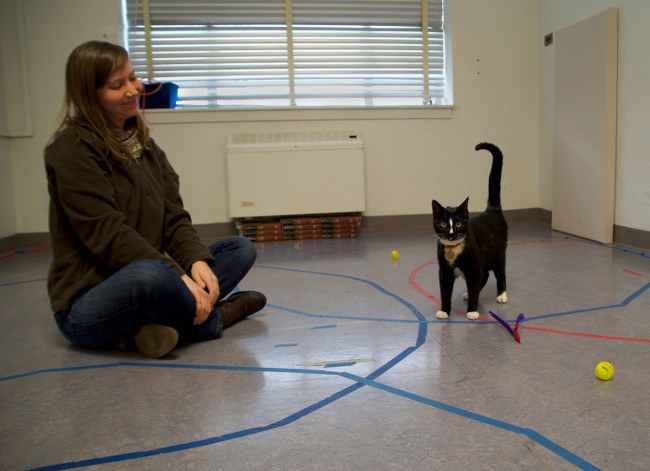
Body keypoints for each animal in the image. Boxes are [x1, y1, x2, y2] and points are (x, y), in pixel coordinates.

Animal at [430, 143, 506, 320]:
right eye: (443, 224)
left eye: (458, 224)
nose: (450, 234)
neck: (454, 249)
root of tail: (492, 209)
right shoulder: (444, 271)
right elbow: (445, 292)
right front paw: (444, 310)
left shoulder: (474, 267)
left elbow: (476, 285)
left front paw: (472, 311)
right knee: (484, 275)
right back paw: (467, 293)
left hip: (499, 254)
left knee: (499, 273)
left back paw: (501, 295)